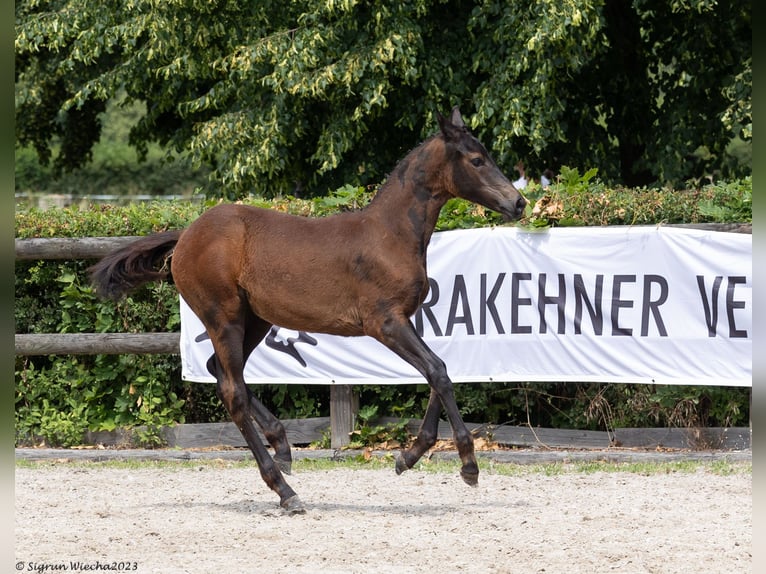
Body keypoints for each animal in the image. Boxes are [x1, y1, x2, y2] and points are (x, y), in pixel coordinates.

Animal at [87, 107, 524, 512]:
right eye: (477, 159)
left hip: (255, 319)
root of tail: (186, 236)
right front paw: (467, 464)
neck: (391, 235)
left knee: (220, 371)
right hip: (223, 316)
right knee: (233, 391)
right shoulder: (385, 322)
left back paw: (282, 446)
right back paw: (284, 489)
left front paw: (409, 456)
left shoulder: (407, 320)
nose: (518, 202)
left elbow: (440, 373)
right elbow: (438, 372)